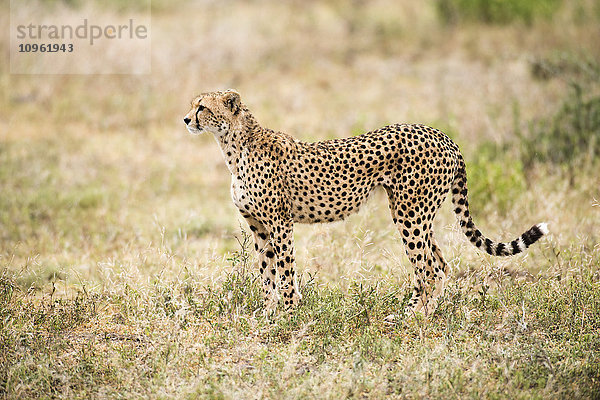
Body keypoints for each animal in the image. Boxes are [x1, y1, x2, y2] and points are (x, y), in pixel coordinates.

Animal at [183, 90, 548, 316]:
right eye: (193, 105)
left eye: (202, 107)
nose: (186, 119)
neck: (234, 145)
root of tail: (442, 135)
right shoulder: (257, 225)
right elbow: (266, 272)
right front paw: (267, 312)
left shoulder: (279, 222)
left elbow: (284, 270)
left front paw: (287, 313)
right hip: (418, 213)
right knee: (441, 264)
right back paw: (429, 313)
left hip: (409, 212)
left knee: (427, 268)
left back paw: (410, 317)